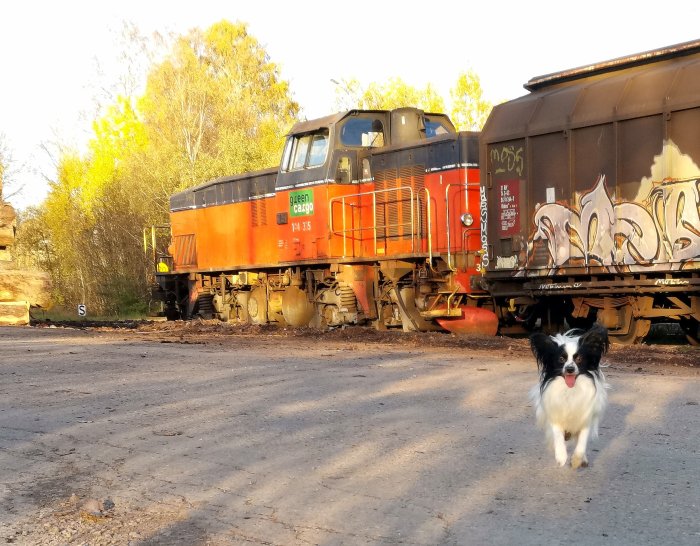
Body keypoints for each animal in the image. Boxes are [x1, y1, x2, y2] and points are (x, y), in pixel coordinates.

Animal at [528, 324, 608, 468]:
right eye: (561, 359)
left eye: (579, 359)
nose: (570, 369)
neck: (570, 390)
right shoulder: (555, 415)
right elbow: (558, 435)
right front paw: (561, 456)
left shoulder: (585, 418)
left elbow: (582, 442)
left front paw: (577, 459)